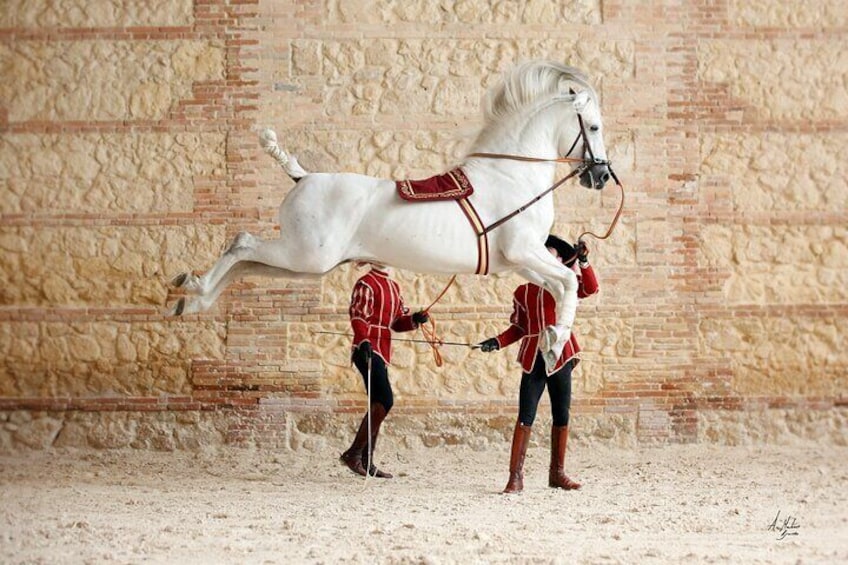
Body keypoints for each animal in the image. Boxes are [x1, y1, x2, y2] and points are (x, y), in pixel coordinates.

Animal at [167, 59, 616, 372]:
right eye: (593, 127)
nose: (601, 176)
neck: (512, 173)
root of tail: (302, 175)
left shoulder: (519, 263)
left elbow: (560, 286)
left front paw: (552, 338)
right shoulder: (524, 252)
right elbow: (569, 284)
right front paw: (555, 342)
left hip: (303, 263)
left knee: (245, 264)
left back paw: (190, 301)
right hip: (305, 255)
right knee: (242, 243)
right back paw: (190, 286)